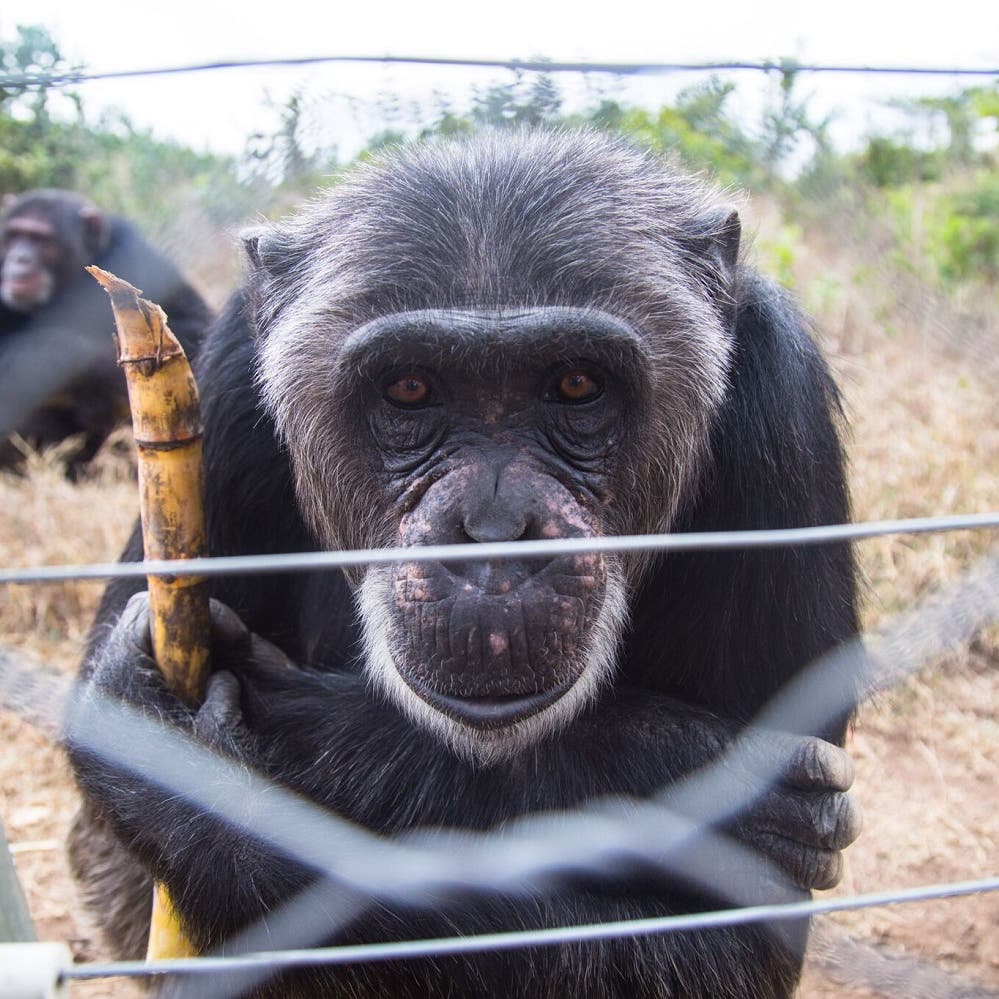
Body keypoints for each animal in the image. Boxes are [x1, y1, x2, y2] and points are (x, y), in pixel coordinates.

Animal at [0, 192, 211, 480]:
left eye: (41, 239)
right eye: (13, 236)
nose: (20, 258)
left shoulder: (137, 256)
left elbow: (194, 328)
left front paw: (49, 350)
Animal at [66, 133, 864, 999]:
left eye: (575, 383)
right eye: (410, 387)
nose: (491, 529)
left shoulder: (781, 406)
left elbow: (738, 935)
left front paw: (264, 756)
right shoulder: (220, 379)